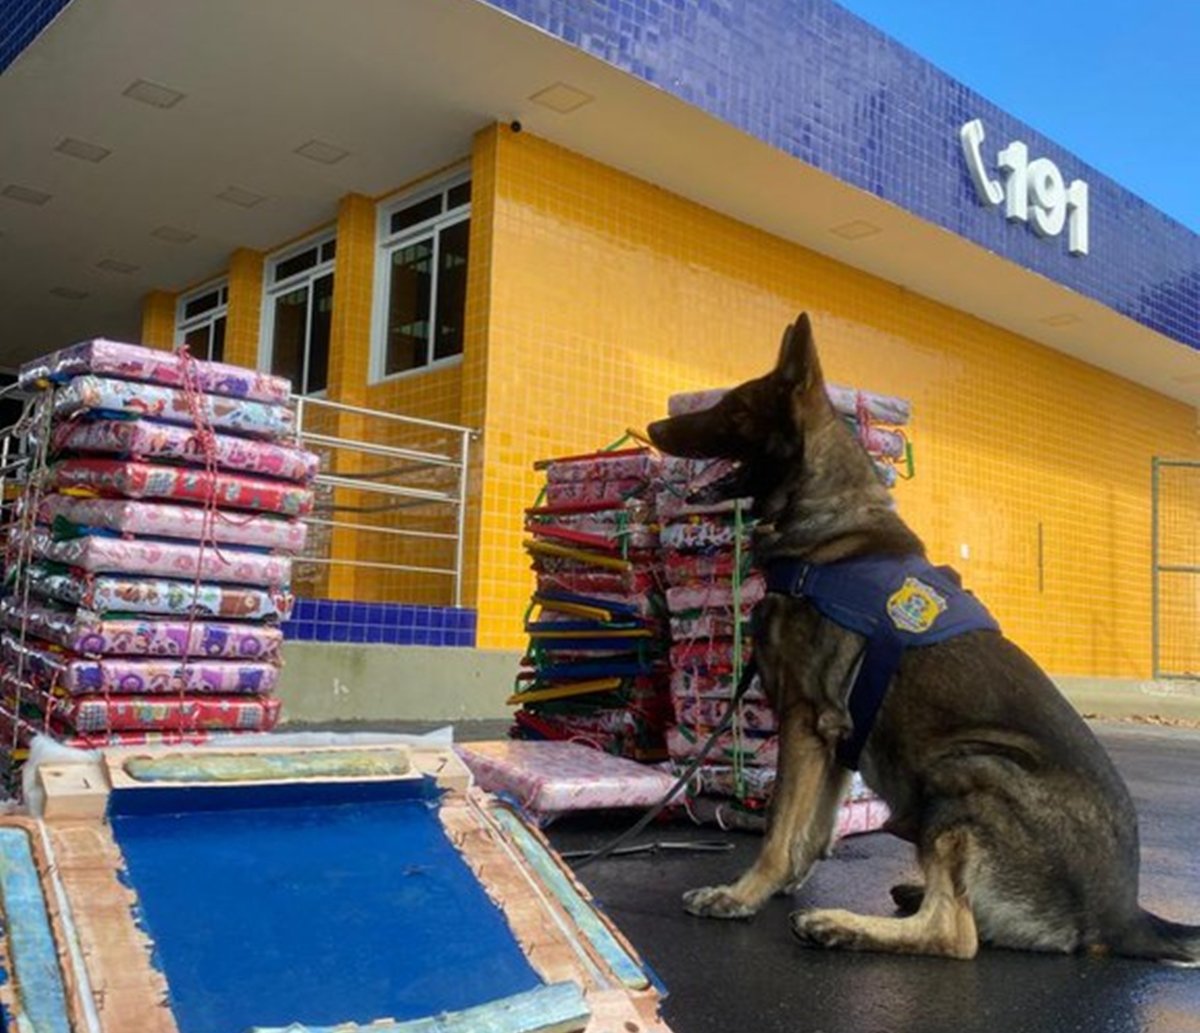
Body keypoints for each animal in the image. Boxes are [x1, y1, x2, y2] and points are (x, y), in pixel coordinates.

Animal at [648, 311, 1200, 959]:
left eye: (733, 408)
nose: (654, 424)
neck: (826, 524)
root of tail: (1123, 918)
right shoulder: (836, 737)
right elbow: (811, 829)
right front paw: (778, 885)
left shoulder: (806, 719)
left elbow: (782, 828)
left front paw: (742, 894)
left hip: (967, 767)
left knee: (955, 934)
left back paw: (840, 924)